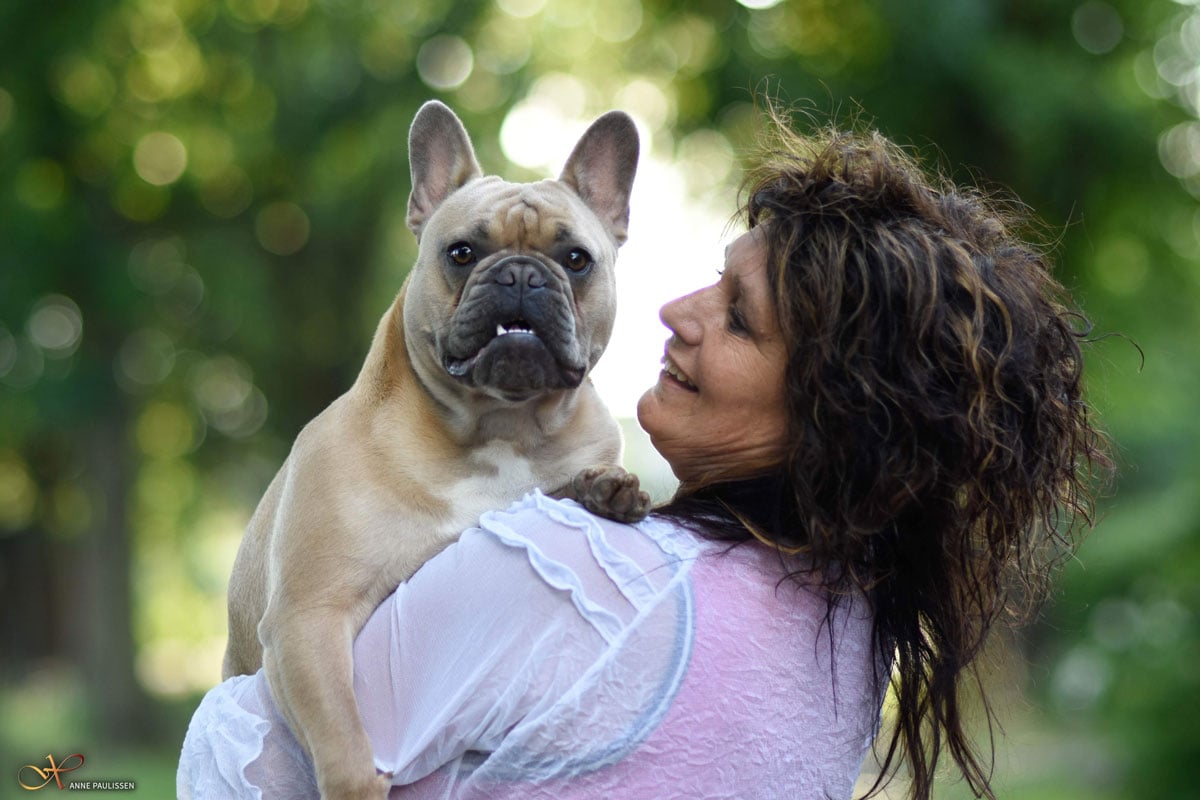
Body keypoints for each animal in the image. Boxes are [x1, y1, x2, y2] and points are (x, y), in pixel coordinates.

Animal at [219, 101, 643, 800]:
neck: (498, 426)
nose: (521, 274)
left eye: (578, 258)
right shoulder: (309, 618)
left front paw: (607, 488)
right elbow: (343, 739)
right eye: (461, 252)